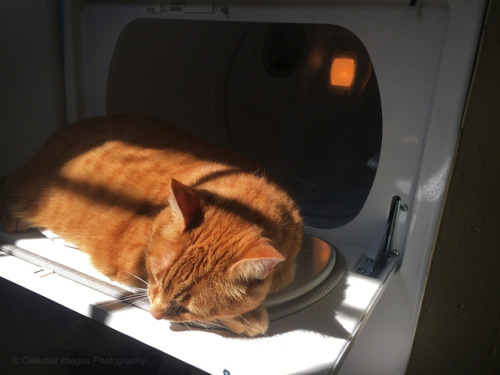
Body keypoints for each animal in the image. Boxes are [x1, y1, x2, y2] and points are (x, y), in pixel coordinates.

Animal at [0, 115, 300, 338]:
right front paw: (250, 318)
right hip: (24, 187)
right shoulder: (129, 264)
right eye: (155, 277)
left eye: (186, 308)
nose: (154, 315)